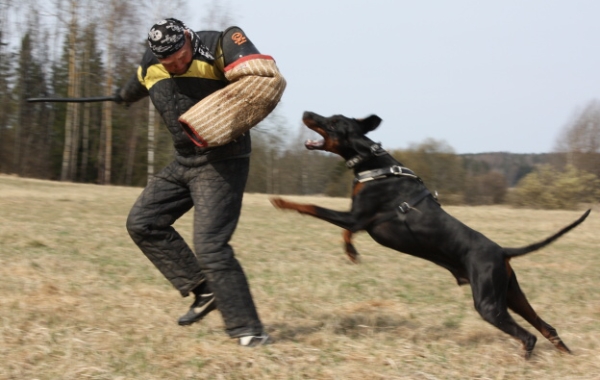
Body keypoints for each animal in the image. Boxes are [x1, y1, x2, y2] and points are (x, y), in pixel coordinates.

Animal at [274, 110, 592, 360]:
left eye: (331, 121)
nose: (306, 112)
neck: (371, 161)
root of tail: (502, 250)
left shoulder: (356, 216)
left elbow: (312, 207)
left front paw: (280, 201)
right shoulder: (358, 221)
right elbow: (346, 234)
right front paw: (352, 253)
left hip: (489, 303)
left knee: (529, 336)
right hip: (511, 294)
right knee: (547, 327)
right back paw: (568, 356)